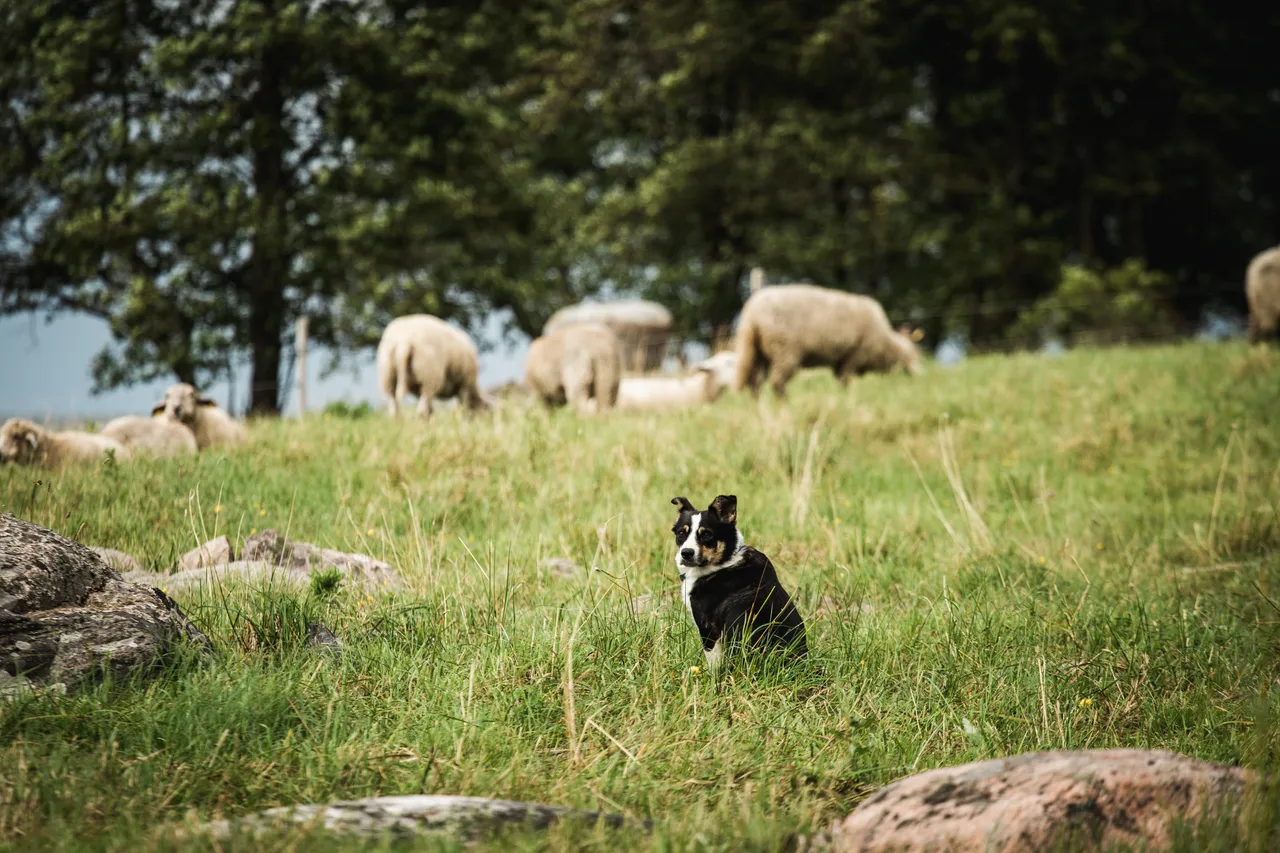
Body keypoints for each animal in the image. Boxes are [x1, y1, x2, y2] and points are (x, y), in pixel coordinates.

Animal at [733, 284, 923, 398]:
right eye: (913, 352)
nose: (920, 374)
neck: (886, 344)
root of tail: (752, 313)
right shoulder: (855, 356)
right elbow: (846, 380)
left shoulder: (841, 361)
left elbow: (841, 380)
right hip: (785, 350)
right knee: (776, 382)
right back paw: (786, 404)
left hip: (758, 352)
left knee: (755, 383)